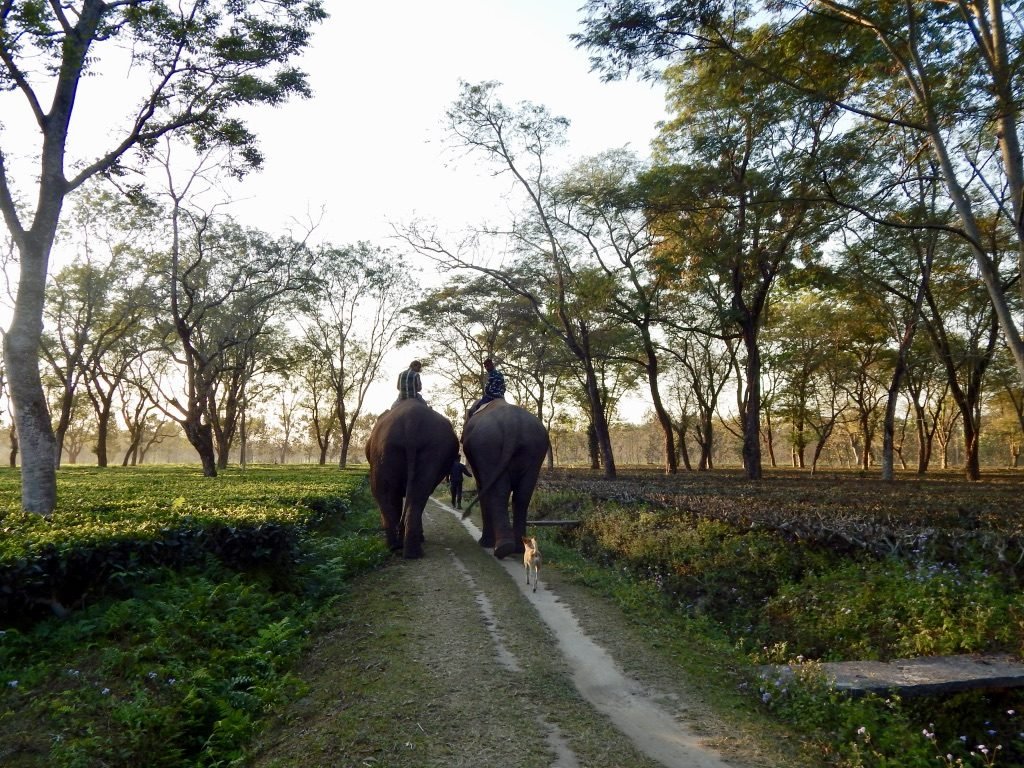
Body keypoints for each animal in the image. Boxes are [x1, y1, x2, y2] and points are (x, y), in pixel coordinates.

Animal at [362, 397, 454, 561]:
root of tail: (411, 420)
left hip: (388, 450)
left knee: (387, 493)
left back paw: (400, 547)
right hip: (422, 448)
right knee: (411, 493)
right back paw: (405, 549)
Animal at [460, 403, 548, 561]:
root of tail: (512, 424)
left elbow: (482, 487)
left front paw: (485, 543)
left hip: (489, 446)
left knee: (499, 492)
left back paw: (501, 548)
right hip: (535, 452)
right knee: (522, 495)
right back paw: (518, 548)